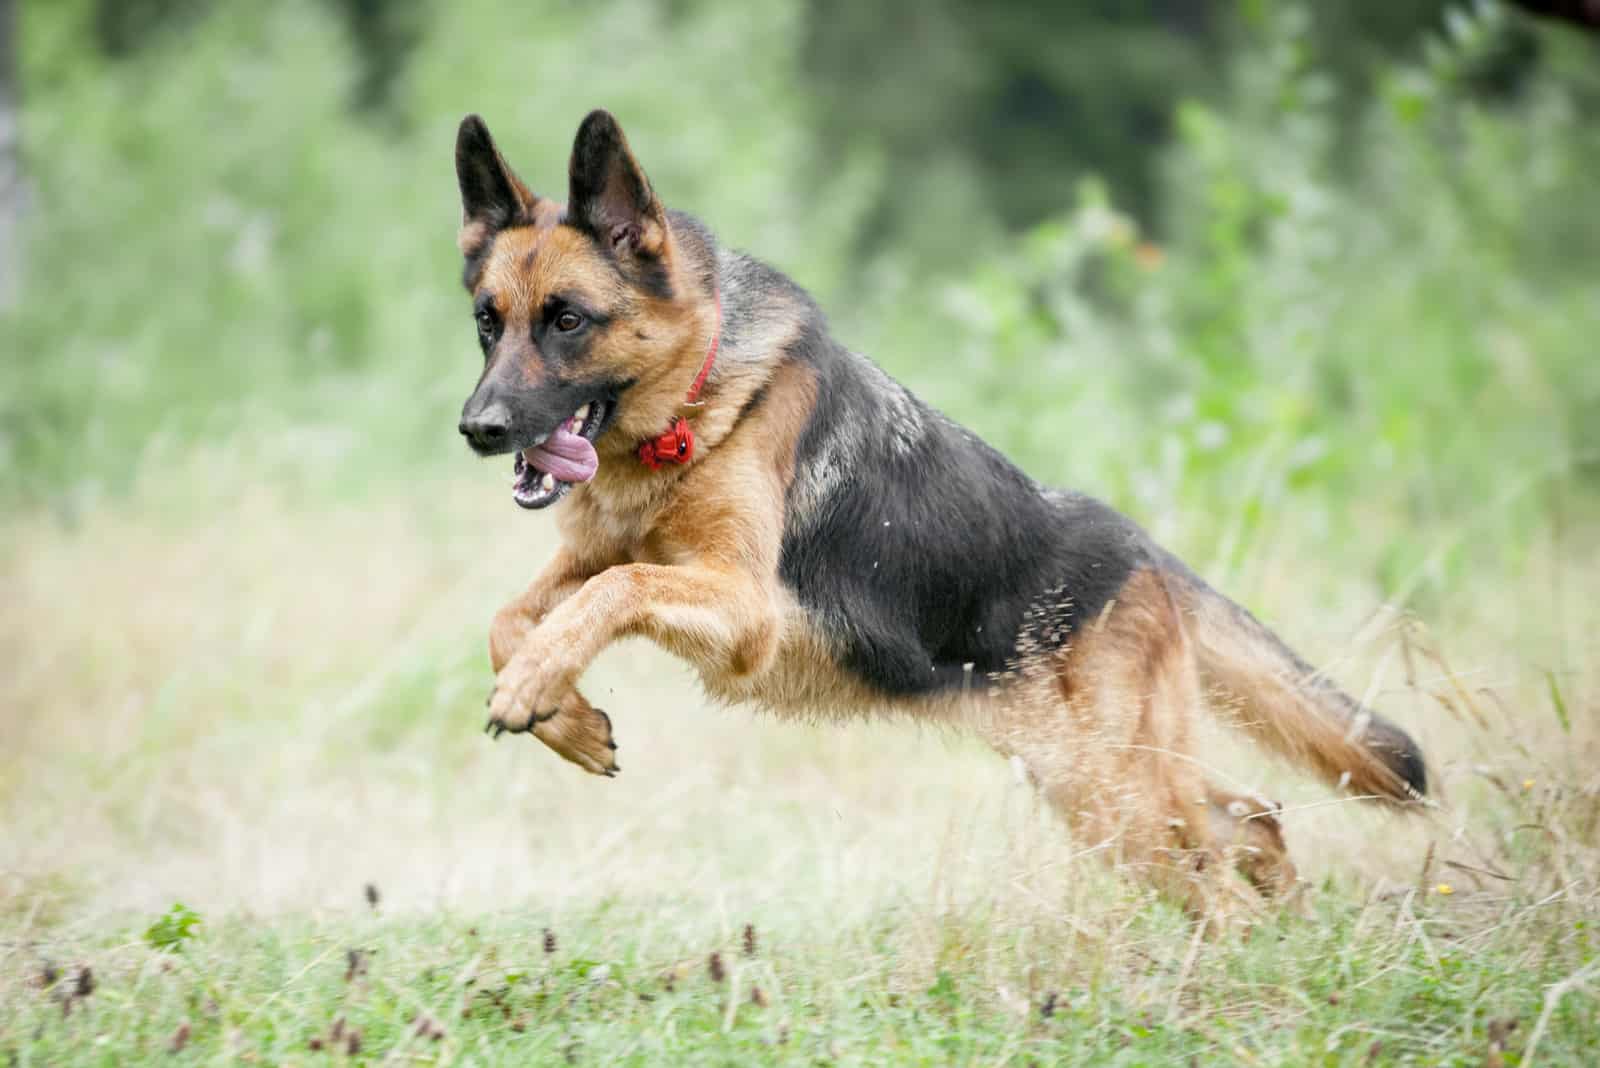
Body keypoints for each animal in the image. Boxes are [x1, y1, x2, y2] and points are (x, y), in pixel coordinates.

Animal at [451, 112, 1427, 920]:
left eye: (569, 321)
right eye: (488, 324)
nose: (478, 429)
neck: (694, 406)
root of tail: (1140, 549)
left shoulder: (742, 607)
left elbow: (614, 589)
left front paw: (537, 689)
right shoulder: (590, 564)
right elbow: (514, 615)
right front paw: (564, 716)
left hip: (1117, 793)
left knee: (1222, 872)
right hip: (1088, 782)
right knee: (1251, 820)